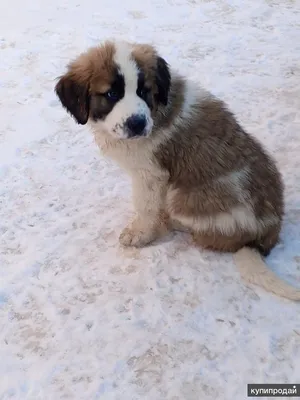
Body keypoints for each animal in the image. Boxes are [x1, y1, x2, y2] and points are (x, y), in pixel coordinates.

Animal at [55, 39, 300, 300]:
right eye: (111, 94)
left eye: (144, 91)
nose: (137, 124)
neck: (156, 110)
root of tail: (263, 237)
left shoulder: (150, 174)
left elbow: (145, 206)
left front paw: (140, 233)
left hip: (184, 198)